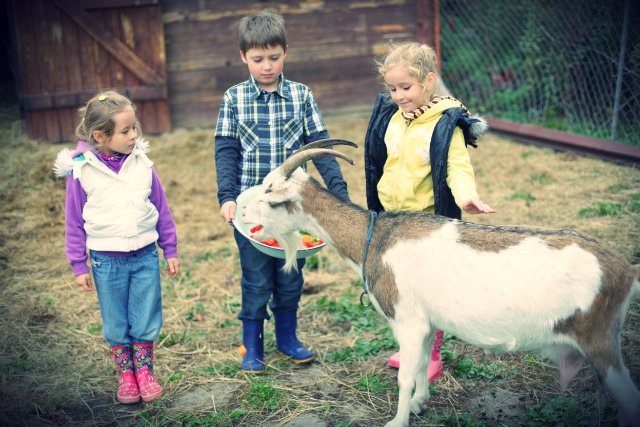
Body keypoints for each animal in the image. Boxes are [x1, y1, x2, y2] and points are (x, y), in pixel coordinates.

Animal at [239, 139, 640, 426]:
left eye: (270, 196)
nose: (240, 212)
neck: (377, 238)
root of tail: (625, 270)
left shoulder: (408, 321)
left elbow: (405, 375)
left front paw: (398, 421)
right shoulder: (426, 322)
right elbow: (418, 367)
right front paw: (420, 403)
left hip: (598, 339)